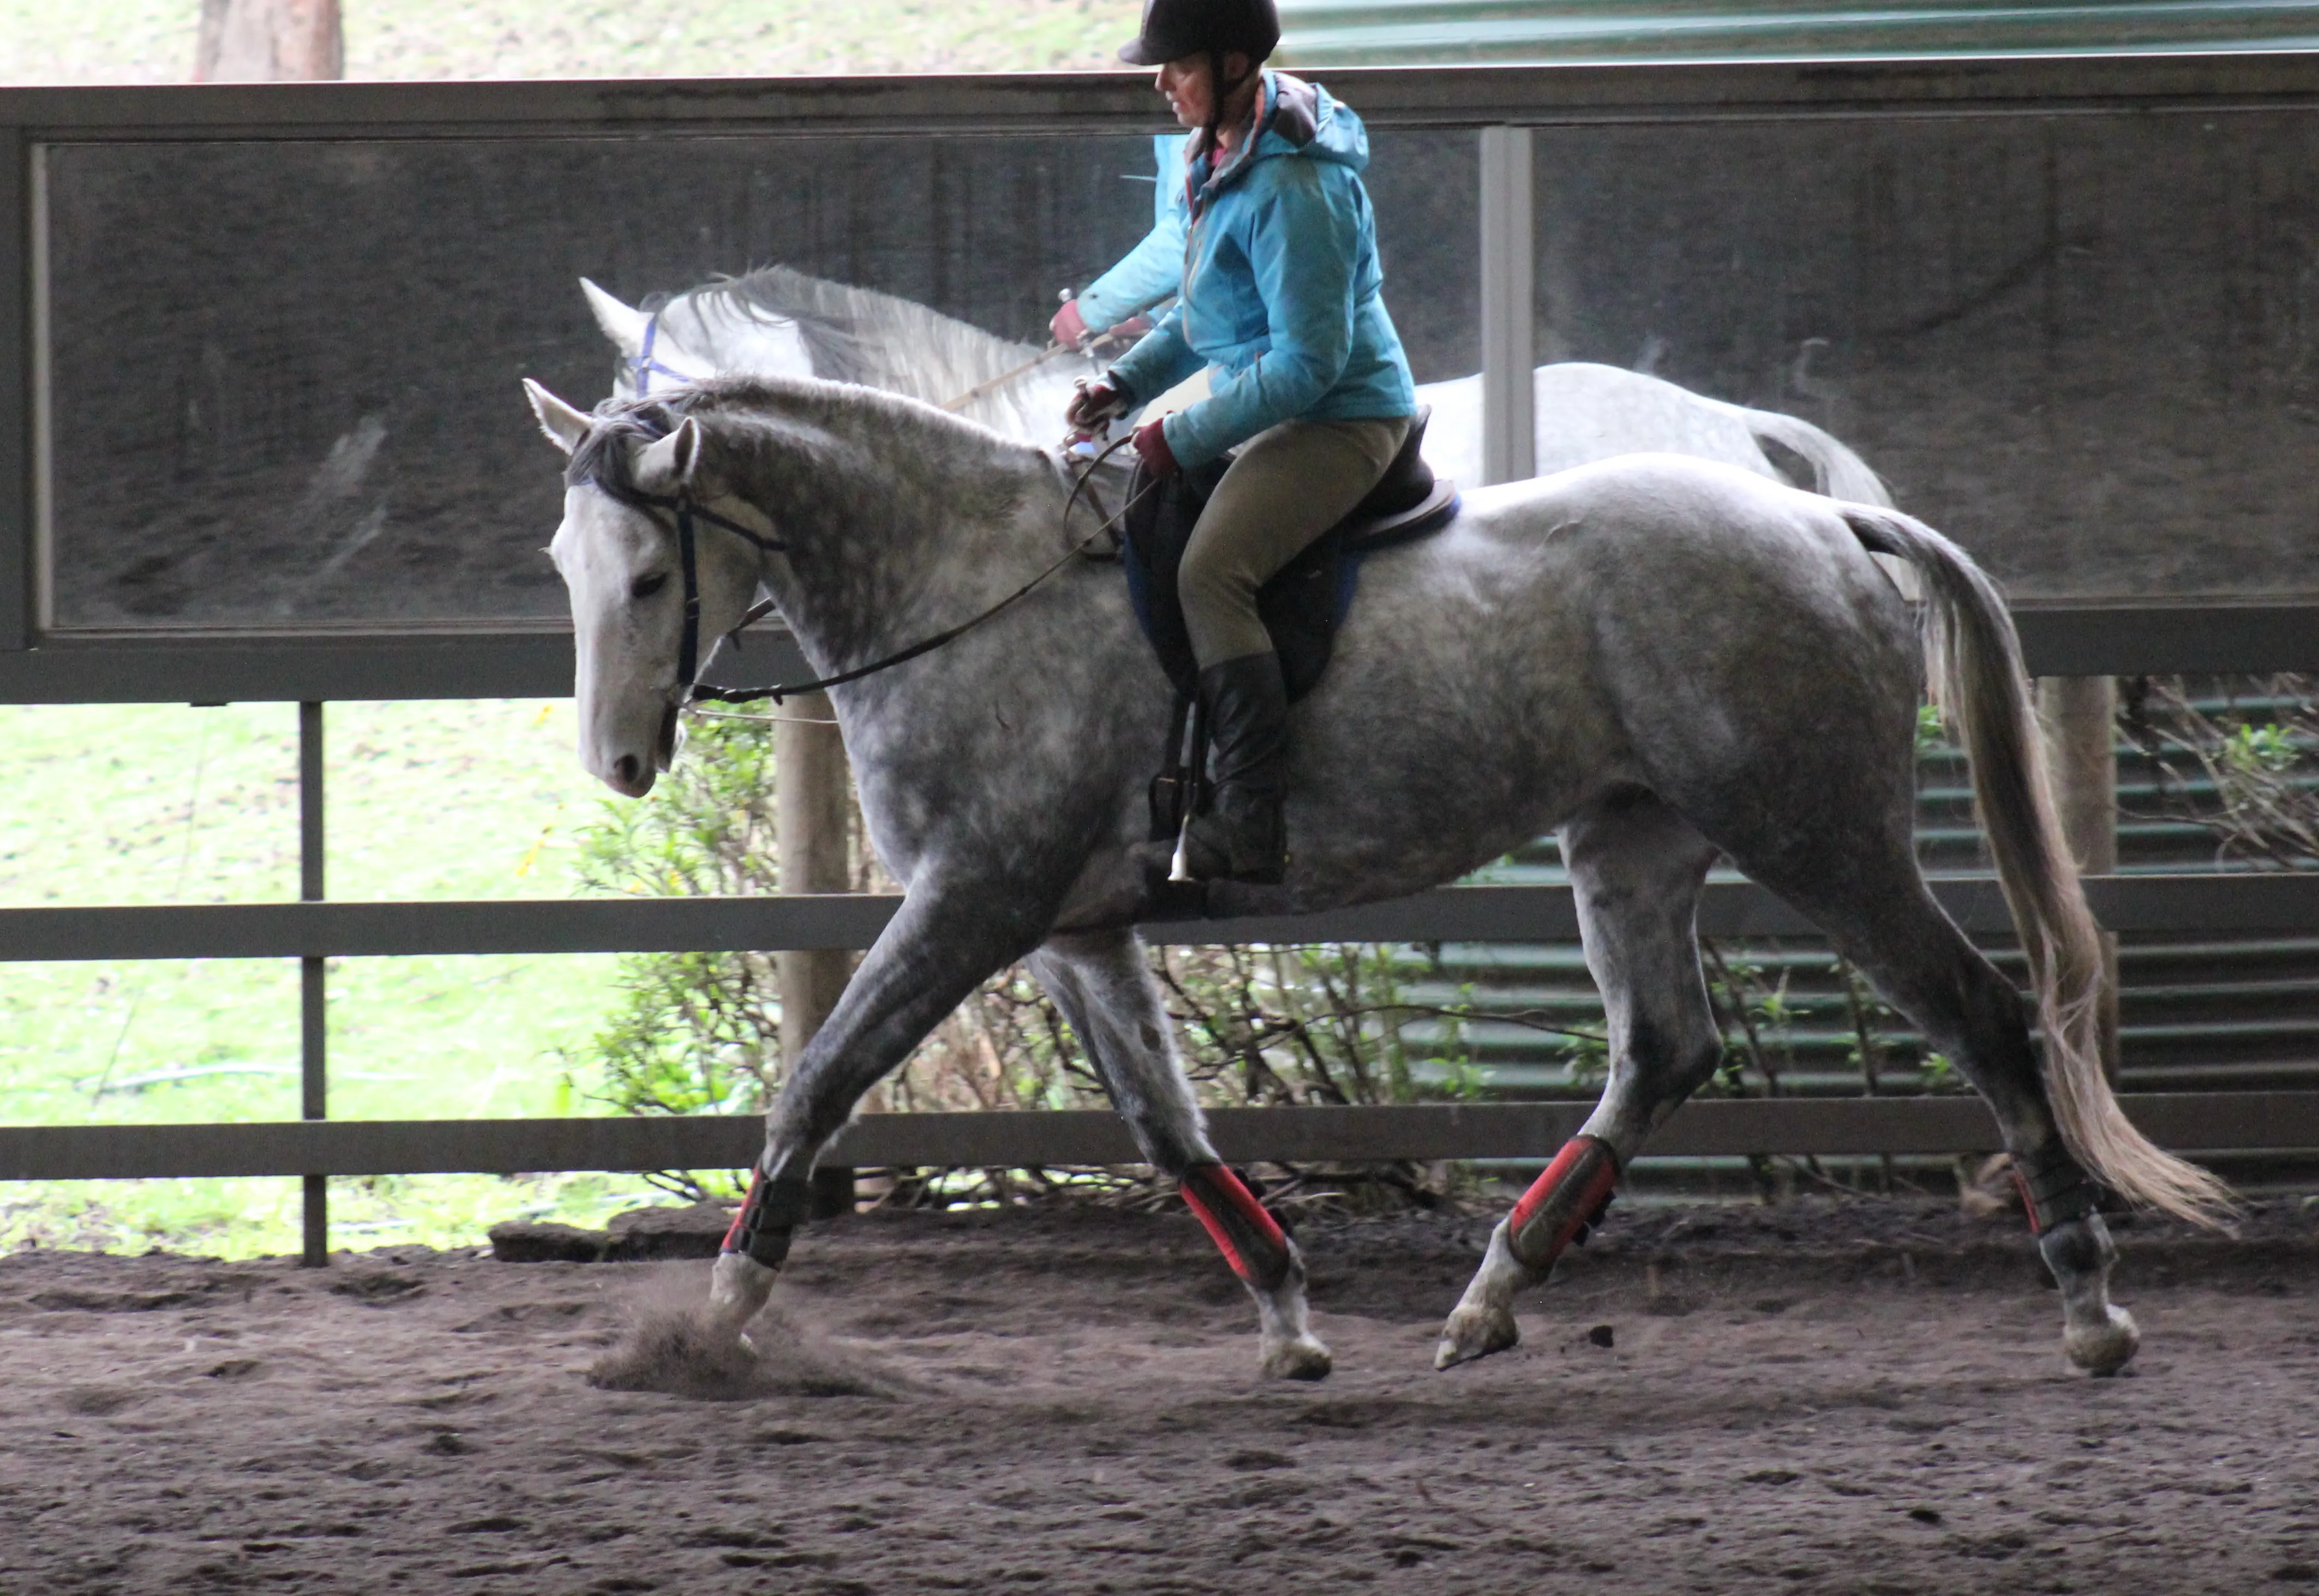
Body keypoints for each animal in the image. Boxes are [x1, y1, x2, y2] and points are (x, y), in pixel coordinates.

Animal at [526, 368, 2226, 1373]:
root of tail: (1826, 518)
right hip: (1633, 838)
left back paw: (2090, 1302)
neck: (967, 587)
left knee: (1985, 1015)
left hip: (1822, 831)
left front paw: (717, 1317)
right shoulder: (1072, 927)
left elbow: (815, 1081)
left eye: (654, 575)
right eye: (566, 564)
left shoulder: (972, 903)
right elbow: (1169, 1126)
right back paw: (1490, 1295)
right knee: (1665, 1048)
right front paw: (1289, 1317)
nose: (619, 763)